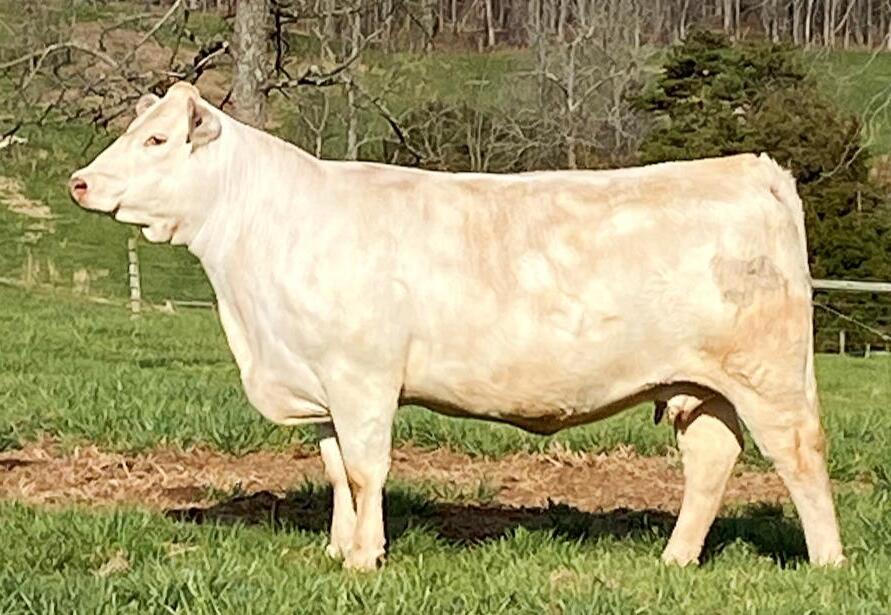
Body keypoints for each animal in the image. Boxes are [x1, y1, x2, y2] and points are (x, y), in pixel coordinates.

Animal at [69, 82, 844, 571]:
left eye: (157, 139)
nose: (79, 181)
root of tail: (750, 166)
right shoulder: (319, 381)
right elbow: (336, 470)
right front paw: (336, 548)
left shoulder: (362, 378)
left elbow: (365, 468)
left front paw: (364, 559)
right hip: (700, 383)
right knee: (711, 460)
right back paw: (675, 560)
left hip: (770, 375)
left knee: (800, 456)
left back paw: (827, 563)